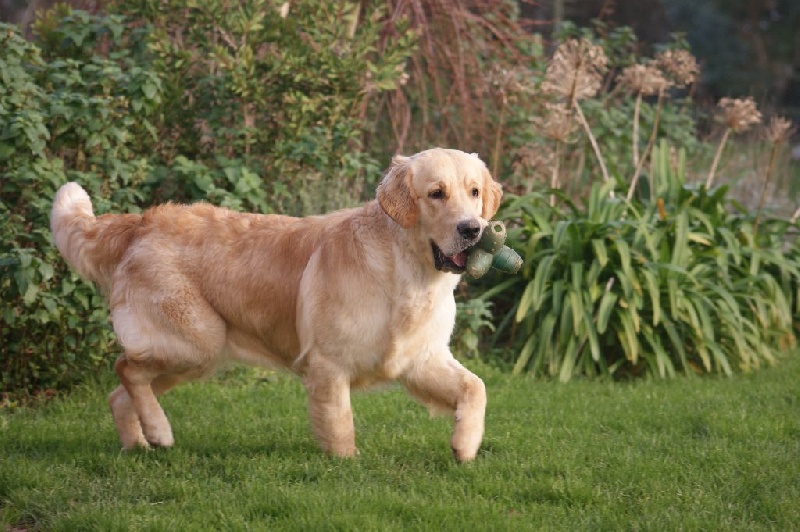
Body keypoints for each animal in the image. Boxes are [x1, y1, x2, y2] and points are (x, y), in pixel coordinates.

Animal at [48, 147, 500, 462]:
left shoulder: (419, 358)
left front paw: (465, 446)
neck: (405, 270)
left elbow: (475, 387)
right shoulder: (328, 365)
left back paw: (140, 445)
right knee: (125, 368)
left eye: (474, 192)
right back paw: (159, 432)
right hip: (197, 340)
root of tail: (141, 222)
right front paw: (347, 466)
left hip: (189, 354)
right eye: (436, 194)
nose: (473, 229)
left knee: (120, 392)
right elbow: (340, 426)